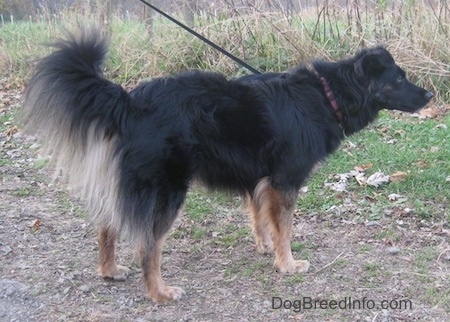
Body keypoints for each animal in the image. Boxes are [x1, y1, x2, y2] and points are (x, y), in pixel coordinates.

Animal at [22, 28, 432, 302]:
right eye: (399, 79)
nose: (430, 94)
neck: (327, 94)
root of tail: (131, 101)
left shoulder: (259, 178)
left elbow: (260, 217)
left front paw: (265, 247)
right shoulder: (285, 180)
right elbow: (284, 227)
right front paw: (287, 263)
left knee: (107, 226)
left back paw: (109, 271)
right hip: (166, 191)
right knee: (146, 245)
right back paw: (160, 292)